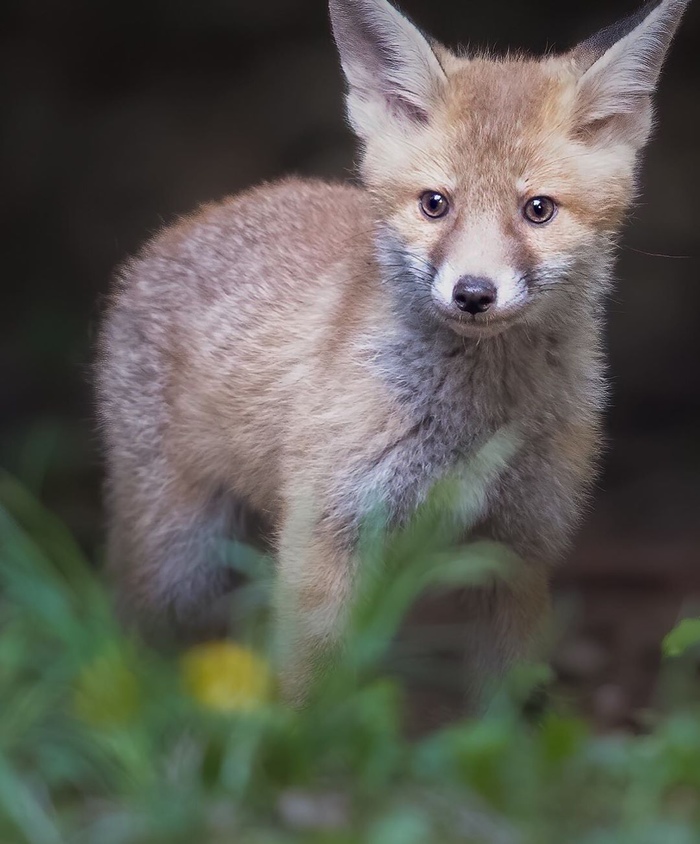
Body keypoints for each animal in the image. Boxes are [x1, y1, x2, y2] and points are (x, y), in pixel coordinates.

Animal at [96, 0, 690, 707]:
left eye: (538, 210)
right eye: (435, 204)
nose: (473, 293)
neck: (471, 424)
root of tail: (183, 225)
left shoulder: (518, 544)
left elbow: (506, 707)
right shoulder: (328, 531)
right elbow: (308, 692)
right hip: (180, 558)